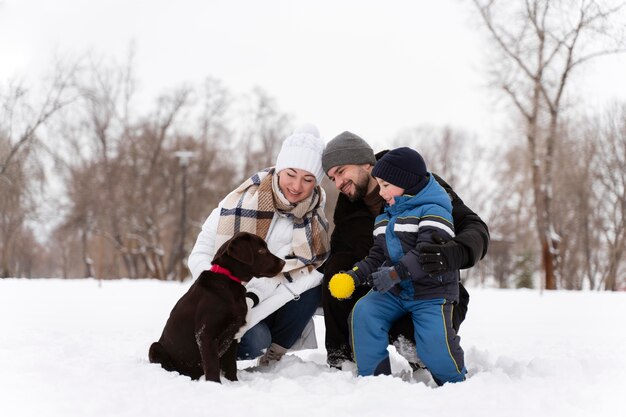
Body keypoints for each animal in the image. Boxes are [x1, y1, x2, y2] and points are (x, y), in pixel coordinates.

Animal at [147, 231, 284, 380]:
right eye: (261, 250)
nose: (284, 262)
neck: (229, 281)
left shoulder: (233, 336)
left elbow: (231, 365)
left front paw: (233, 382)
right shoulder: (206, 334)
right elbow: (212, 366)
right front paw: (214, 384)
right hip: (155, 347)